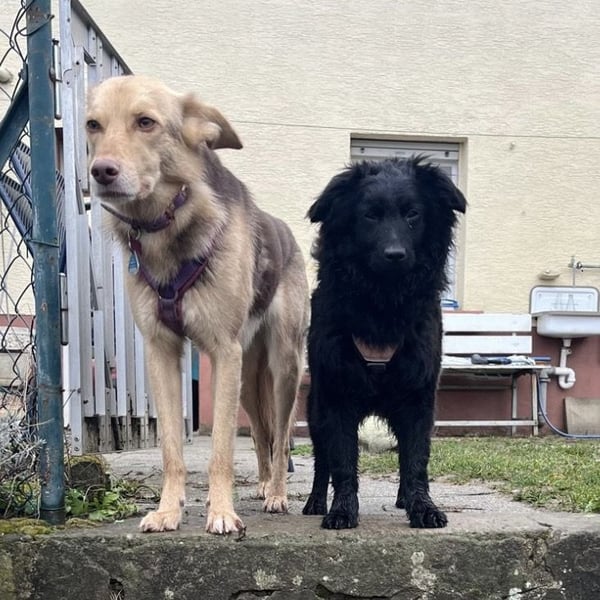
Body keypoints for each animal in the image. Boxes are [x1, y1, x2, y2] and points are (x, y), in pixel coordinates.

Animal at [85, 75, 309, 535]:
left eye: (146, 122)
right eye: (93, 125)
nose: (102, 172)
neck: (166, 224)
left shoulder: (223, 352)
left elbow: (221, 448)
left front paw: (221, 512)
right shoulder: (163, 352)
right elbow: (172, 448)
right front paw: (168, 511)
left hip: (284, 366)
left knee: (280, 438)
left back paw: (277, 493)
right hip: (247, 379)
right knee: (261, 434)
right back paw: (263, 484)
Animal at [302, 156, 466, 529]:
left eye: (413, 214)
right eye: (370, 216)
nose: (395, 254)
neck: (383, 300)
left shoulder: (418, 396)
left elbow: (416, 459)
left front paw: (422, 507)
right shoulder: (337, 395)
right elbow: (342, 461)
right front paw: (342, 510)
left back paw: (405, 499)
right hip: (314, 409)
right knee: (322, 461)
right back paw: (316, 501)